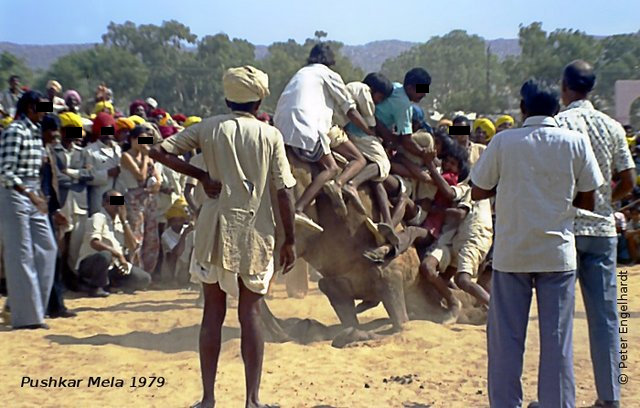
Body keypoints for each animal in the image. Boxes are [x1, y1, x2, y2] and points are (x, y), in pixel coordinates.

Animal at [260, 153, 484, 348]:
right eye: (474, 303)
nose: (483, 310)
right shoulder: (391, 276)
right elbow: (400, 326)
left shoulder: (335, 286)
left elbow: (359, 322)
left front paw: (313, 328)